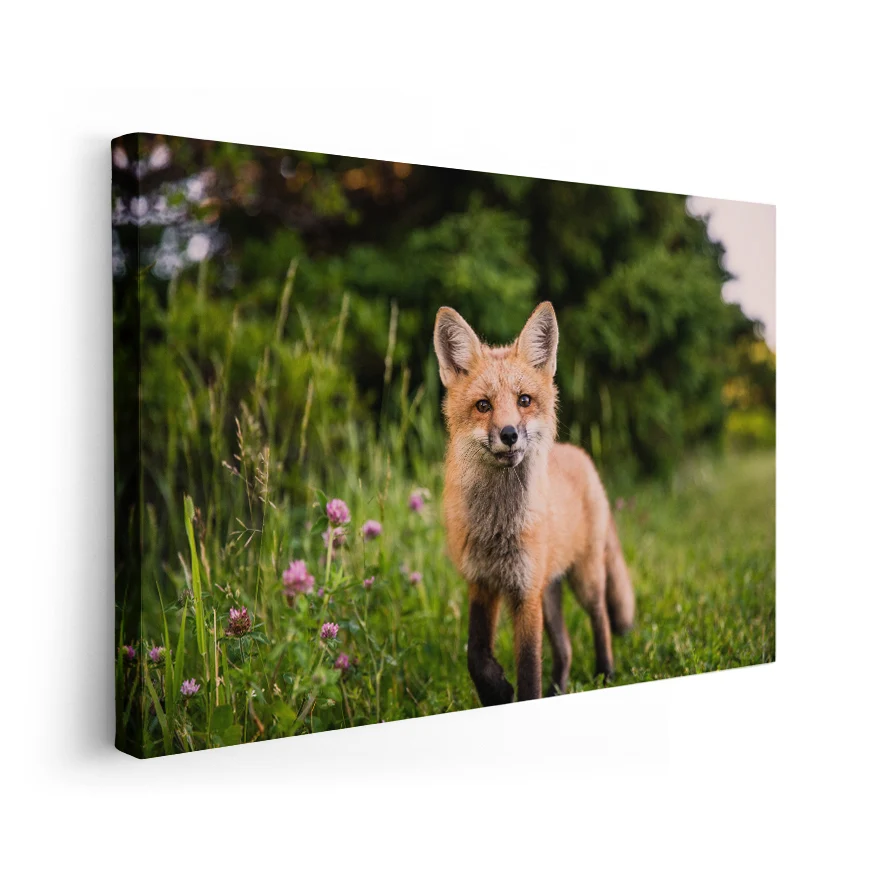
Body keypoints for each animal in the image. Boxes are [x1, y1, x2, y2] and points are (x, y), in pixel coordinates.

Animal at [434, 302, 635, 704]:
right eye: (483, 406)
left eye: (524, 400)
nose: (509, 434)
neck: (498, 528)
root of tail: (578, 454)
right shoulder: (482, 582)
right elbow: (475, 654)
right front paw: (495, 689)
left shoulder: (525, 593)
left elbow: (528, 670)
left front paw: (514, 691)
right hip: (550, 592)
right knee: (566, 647)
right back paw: (559, 689)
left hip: (584, 579)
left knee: (601, 619)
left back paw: (606, 672)